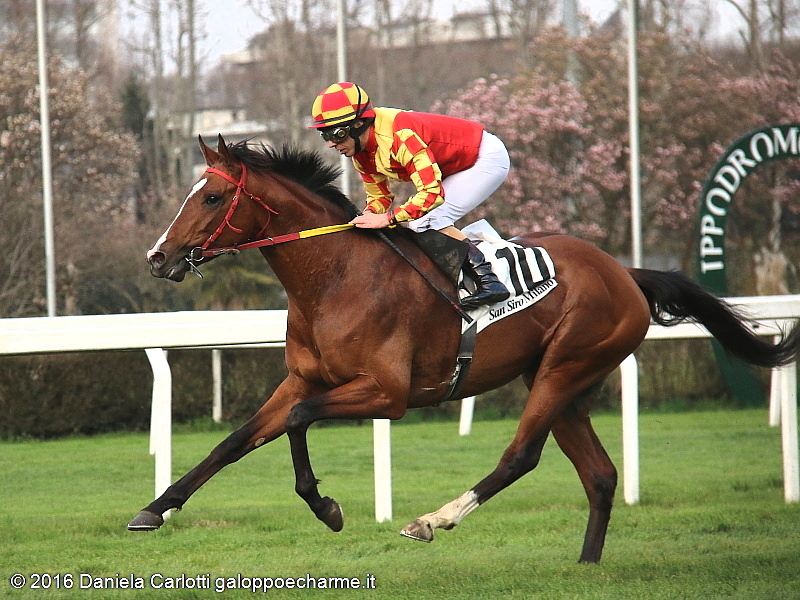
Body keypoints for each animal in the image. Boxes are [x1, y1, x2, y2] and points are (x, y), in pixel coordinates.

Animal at [133, 136, 800, 564]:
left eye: (211, 198)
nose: (158, 258)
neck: (336, 277)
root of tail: (625, 273)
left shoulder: (387, 394)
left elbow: (298, 422)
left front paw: (326, 506)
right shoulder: (302, 379)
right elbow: (235, 441)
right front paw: (155, 509)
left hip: (565, 367)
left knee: (520, 457)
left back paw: (432, 521)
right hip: (564, 382)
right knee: (601, 476)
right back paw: (586, 567)